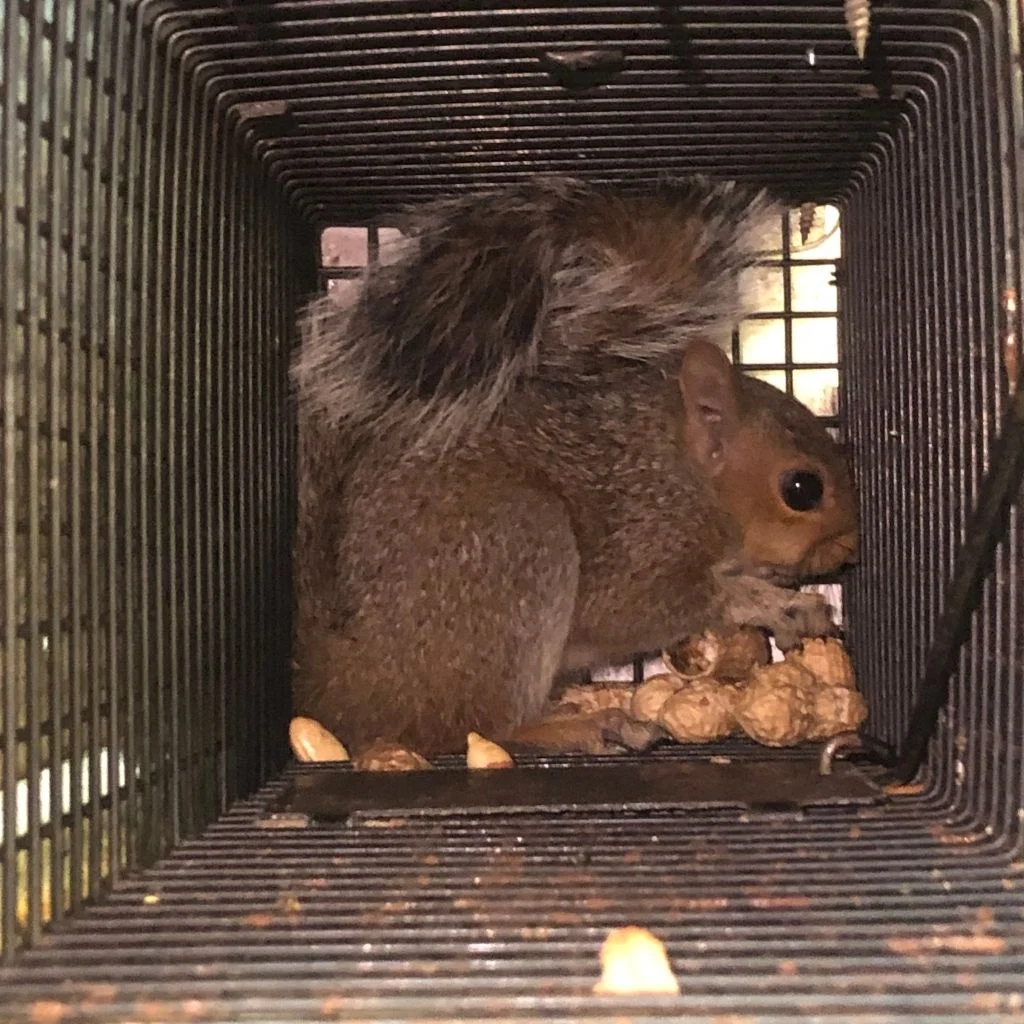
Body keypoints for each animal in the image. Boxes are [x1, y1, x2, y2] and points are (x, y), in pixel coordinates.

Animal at [291, 175, 859, 758]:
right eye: (802, 488)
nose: (850, 548)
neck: (687, 476)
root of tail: (337, 685)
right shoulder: (642, 539)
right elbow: (656, 605)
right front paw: (774, 604)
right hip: (518, 544)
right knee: (479, 726)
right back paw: (584, 725)